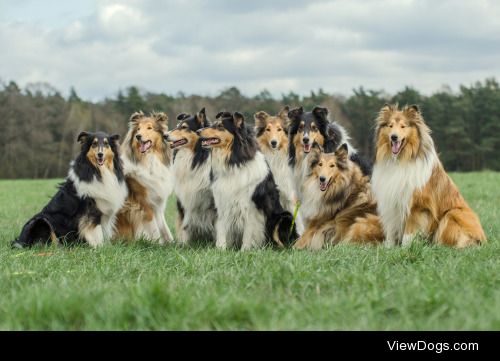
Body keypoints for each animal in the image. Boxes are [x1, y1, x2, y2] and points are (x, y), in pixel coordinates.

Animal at [114, 112, 174, 242]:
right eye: (138, 129)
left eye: (149, 128)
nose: (138, 136)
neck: (149, 161)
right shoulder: (144, 205)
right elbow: (154, 229)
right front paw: (157, 243)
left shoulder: (158, 204)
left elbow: (164, 228)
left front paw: (172, 243)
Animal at [166, 107, 217, 245]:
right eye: (177, 126)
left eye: (184, 127)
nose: (164, 135)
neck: (195, 156)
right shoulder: (184, 199)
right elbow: (184, 225)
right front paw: (184, 245)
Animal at [197, 111, 296, 249]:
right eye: (213, 124)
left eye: (220, 126)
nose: (198, 131)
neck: (234, 161)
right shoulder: (222, 201)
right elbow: (221, 229)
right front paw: (221, 249)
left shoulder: (251, 206)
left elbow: (248, 232)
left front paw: (245, 250)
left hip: (284, 216)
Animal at [374, 102, 486, 246]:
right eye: (390, 125)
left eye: (403, 126)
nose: (394, 137)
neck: (402, 159)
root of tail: (482, 238)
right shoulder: (392, 203)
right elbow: (391, 230)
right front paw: (388, 247)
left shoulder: (417, 205)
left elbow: (409, 232)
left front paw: (405, 247)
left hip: (452, 213)